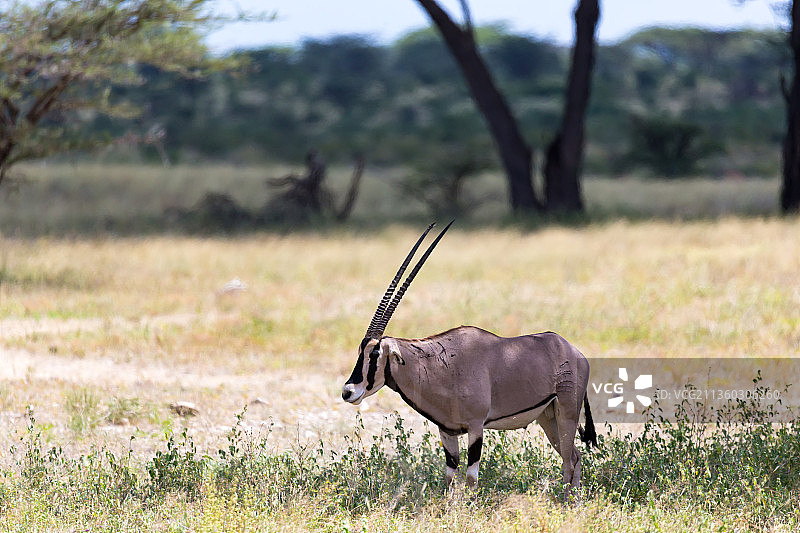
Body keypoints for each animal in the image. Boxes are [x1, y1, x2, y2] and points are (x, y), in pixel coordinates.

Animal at [341, 222, 597, 496]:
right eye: (360, 351)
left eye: (375, 353)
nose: (347, 391)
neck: (440, 365)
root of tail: (574, 352)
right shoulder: (447, 431)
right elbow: (450, 477)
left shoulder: (476, 427)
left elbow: (472, 477)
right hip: (547, 417)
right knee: (574, 456)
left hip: (566, 412)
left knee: (569, 460)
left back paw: (567, 501)